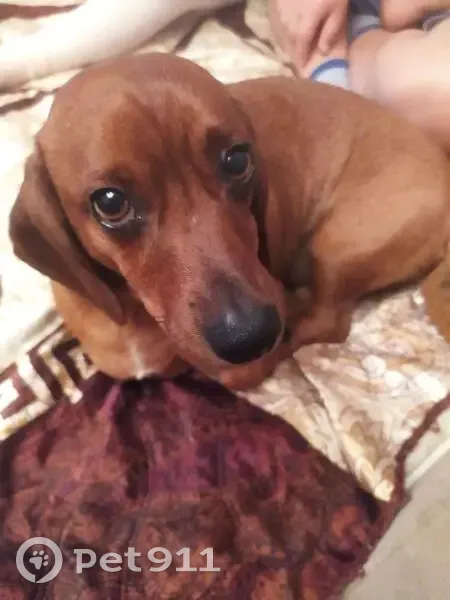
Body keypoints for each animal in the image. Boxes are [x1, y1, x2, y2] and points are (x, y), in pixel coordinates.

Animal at [9, 53, 450, 390]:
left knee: (329, 323)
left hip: (340, 244)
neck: (138, 318)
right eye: (110, 203)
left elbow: (231, 373)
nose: (252, 337)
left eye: (237, 160)